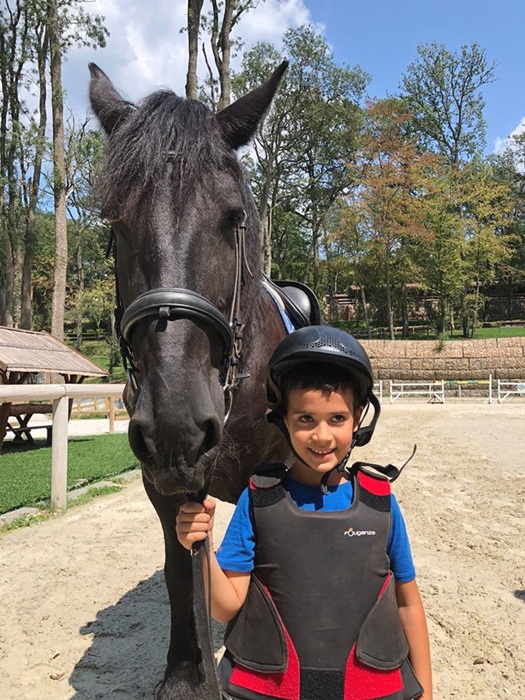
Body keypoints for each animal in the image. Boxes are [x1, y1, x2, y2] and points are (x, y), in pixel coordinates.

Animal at [89, 61, 298, 699]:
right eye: (114, 223)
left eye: (233, 218)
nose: (176, 426)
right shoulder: (162, 480)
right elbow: (182, 572)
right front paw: (186, 670)